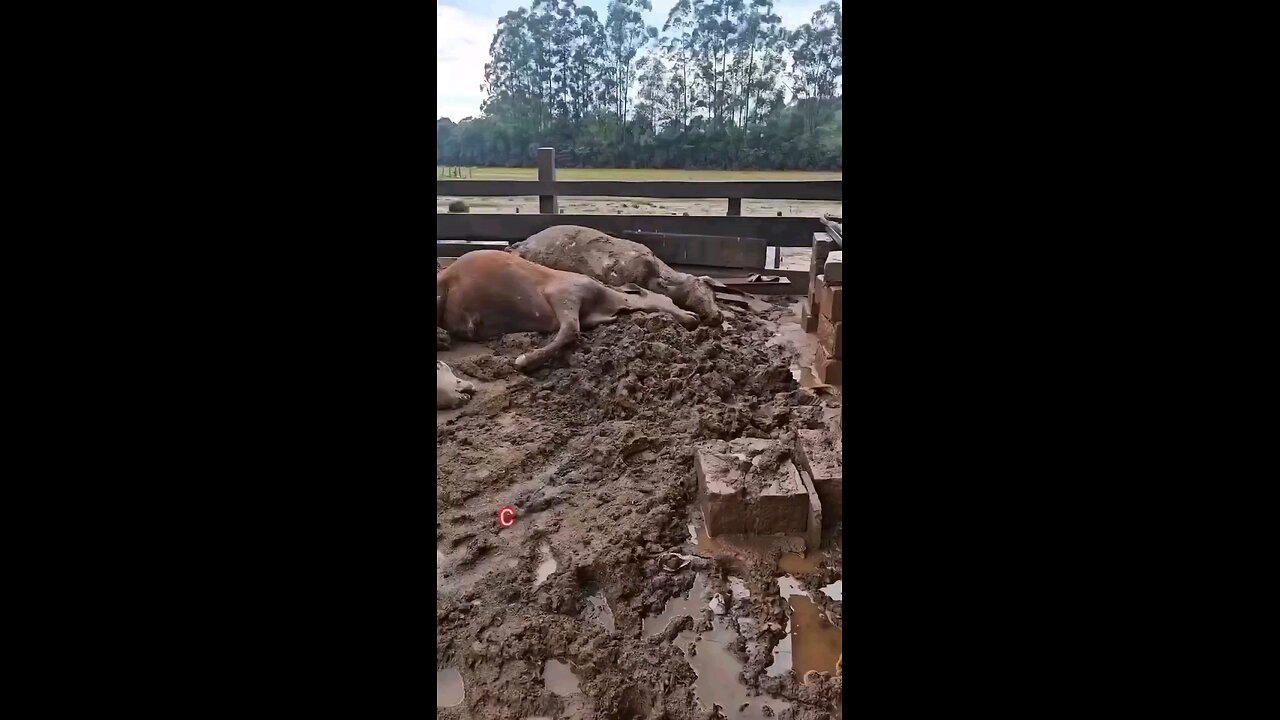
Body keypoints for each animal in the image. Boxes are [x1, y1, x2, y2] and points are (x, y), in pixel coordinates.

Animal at [440, 248, 701, 368]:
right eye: (668, 301)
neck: (606, 303)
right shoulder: (564, 295)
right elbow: (570, 331)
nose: (695, 317)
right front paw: (524, 360)